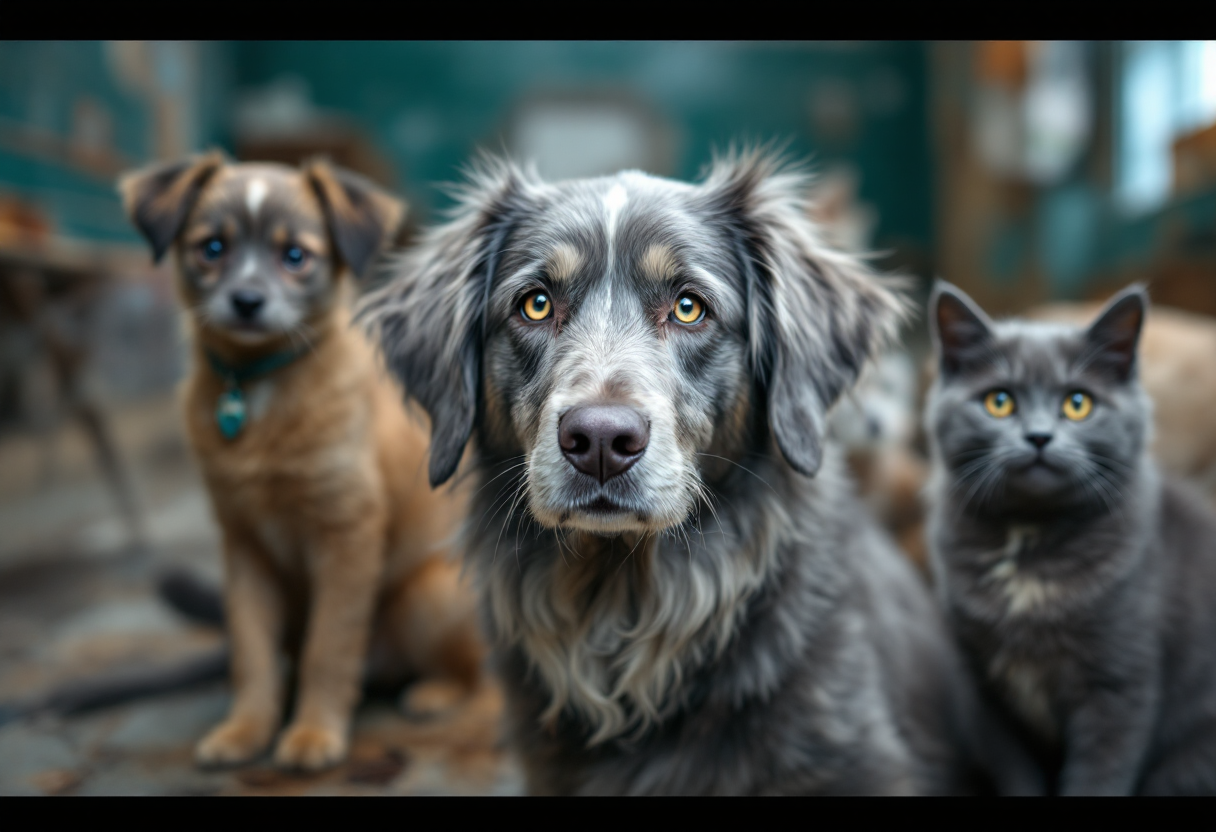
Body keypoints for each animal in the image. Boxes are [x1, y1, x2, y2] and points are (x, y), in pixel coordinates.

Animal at [119, 152, 483, 768]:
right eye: (212, 247)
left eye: (295, 256)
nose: (246, 301)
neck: (256, 388)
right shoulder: (243, 545)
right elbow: (252, 652)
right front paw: (245, 730)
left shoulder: (345, 536)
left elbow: (328, 647)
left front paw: (313, 734)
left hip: (428, 595)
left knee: (477, 673)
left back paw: (435, 694)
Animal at [924, 279, 1216, 793]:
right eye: (999, 401)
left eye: (1078, 404)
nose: (1039, 436)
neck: (1030, 545)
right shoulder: (987, 696)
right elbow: (1017, 774)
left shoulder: (1119, 686)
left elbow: (1099, 777)